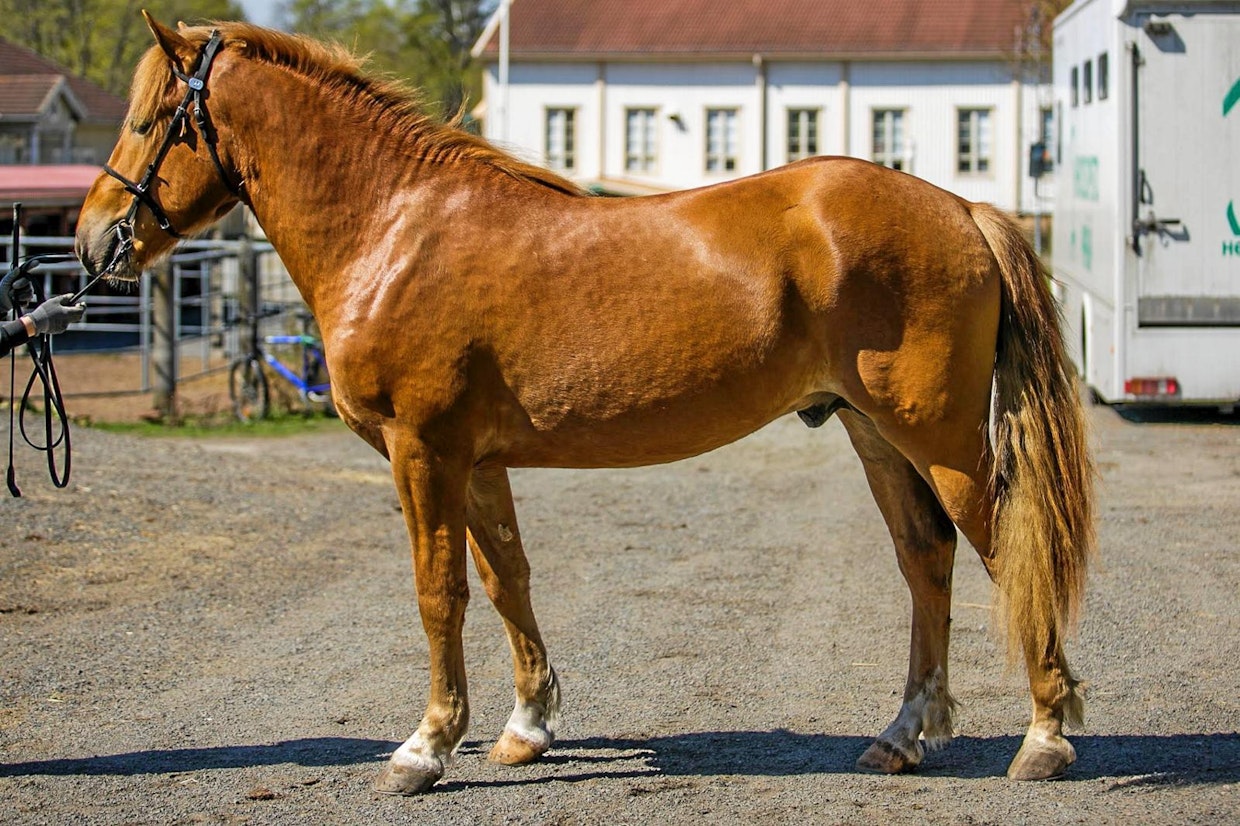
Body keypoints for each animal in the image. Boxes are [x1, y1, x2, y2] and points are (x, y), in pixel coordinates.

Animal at [75, 15, 1095, 795]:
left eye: (155, 118)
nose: (92, 241)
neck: (398, 227)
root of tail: (962, 209)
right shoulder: (477, 462)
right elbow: (506, 582)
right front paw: (526, 727)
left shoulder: (422, 450)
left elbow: (438, 593)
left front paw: (424, 748)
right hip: (873, 433)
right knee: (926, 558)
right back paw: (902, 735)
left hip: (940, 439)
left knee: (1008, 549)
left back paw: (1044, 737)